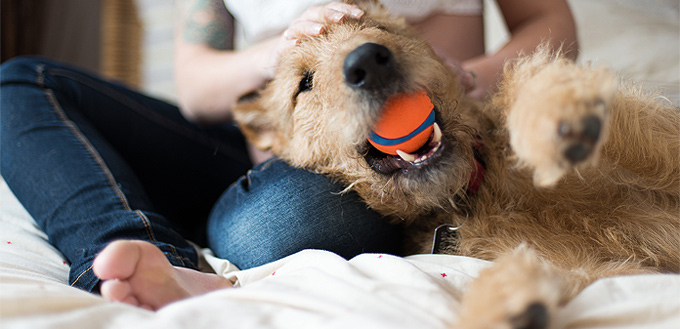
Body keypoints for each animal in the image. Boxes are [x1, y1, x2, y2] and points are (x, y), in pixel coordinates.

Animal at [231, 1, 676, 326]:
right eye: (303, 83)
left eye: (379, 29)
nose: (368, 60)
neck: (472, 193)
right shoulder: (611, 273)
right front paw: (504, 303)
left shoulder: (663, 147)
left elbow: (522, 84)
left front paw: (556, 111)